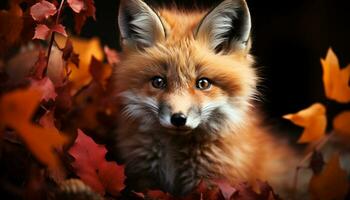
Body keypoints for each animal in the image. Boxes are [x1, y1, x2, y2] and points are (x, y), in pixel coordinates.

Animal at [110, 0, 300, 197]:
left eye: (203, 83)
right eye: (158, 82)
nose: (178, 119)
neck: (174, 159)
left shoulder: (214, 183)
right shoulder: (144, 179)